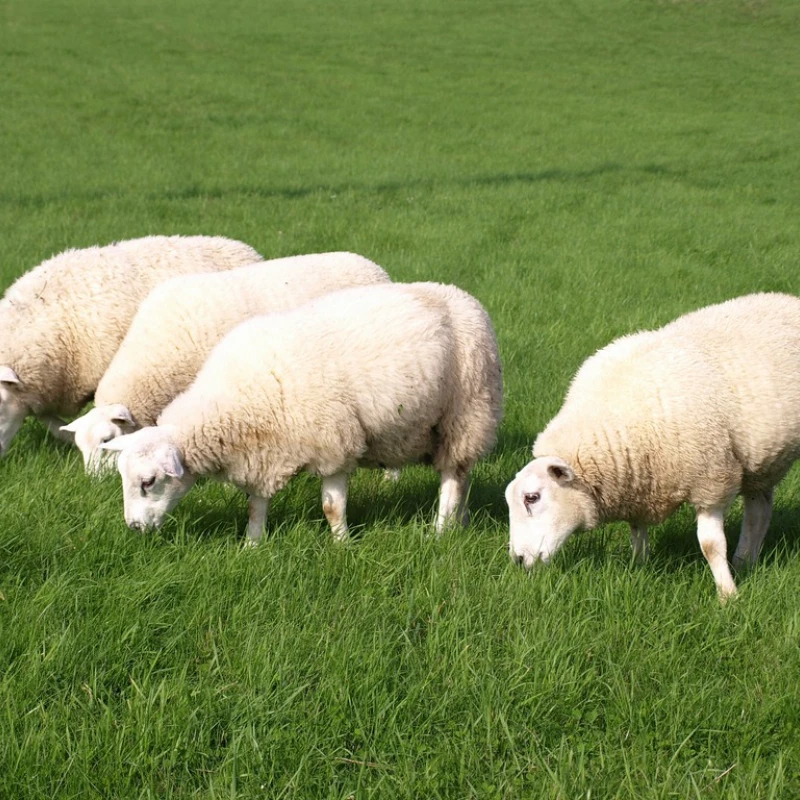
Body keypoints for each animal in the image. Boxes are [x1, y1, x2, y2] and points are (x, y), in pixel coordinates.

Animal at [101, 281, 503, 542]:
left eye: (148, 481)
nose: (133, 529)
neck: (232, 402)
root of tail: (463, 296)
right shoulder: (261, 453)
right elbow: (255, 505)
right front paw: (252, 545)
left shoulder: (336, 444)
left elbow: (331, 507)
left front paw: (342, 545)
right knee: (464, 477)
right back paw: (461, 521)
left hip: (466, 413)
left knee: (452, 478)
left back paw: (440, 531)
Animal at [505, 292, 800, 601]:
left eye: (532, 498)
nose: (518, 560)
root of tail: (783, 297)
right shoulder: (637, 486)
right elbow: (637, 533)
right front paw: (639, 568)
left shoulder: (711, 480)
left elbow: (710, 545)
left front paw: (727, 596)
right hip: (761, 462)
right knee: (759, 510)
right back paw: (745, 561)